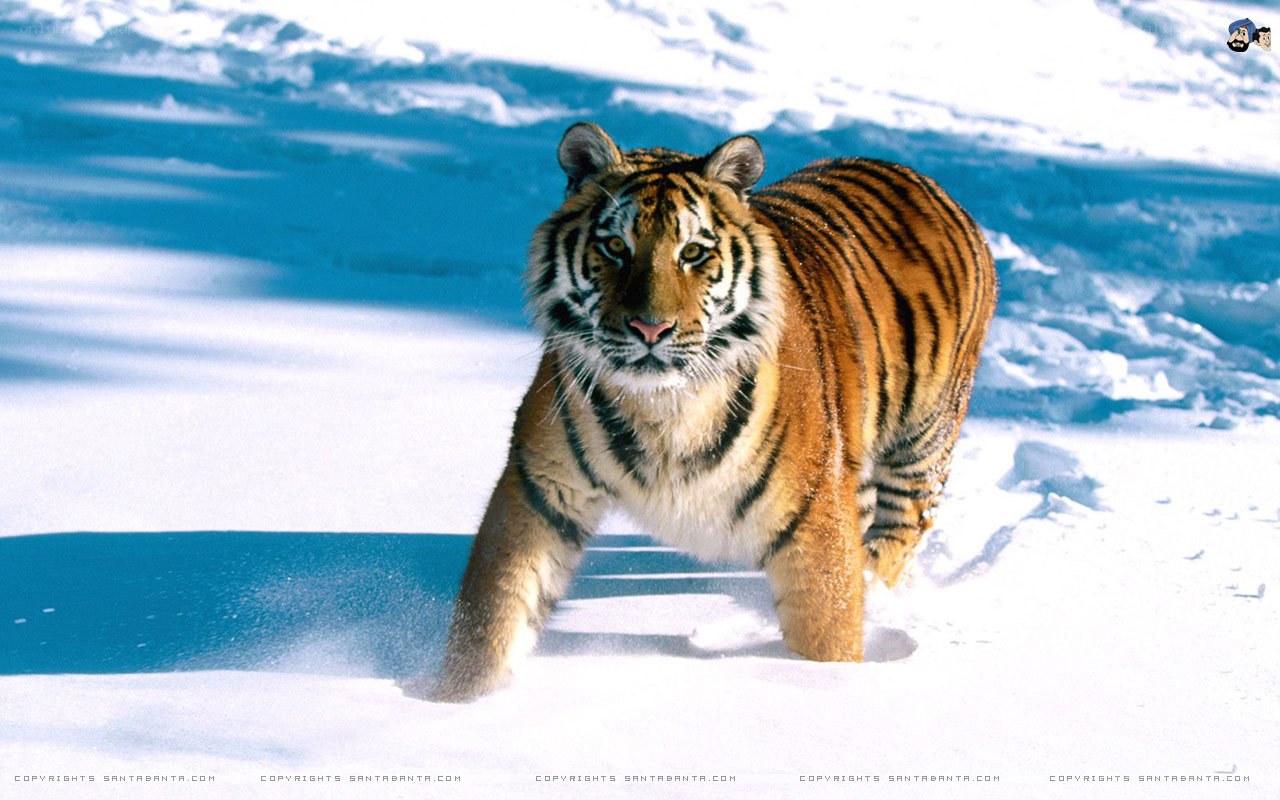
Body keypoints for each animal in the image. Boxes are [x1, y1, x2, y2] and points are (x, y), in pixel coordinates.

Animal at [421, 122, 996, 703]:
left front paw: (825, 682)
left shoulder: (814, 518)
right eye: (615, 246)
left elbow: (827, 629)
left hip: (922, 442)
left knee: (899, 532)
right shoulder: (541, 487)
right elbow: (494, 613)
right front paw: (451, 699)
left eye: (694, 252)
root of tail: (922, 179)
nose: (650, 328)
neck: (662, 407)